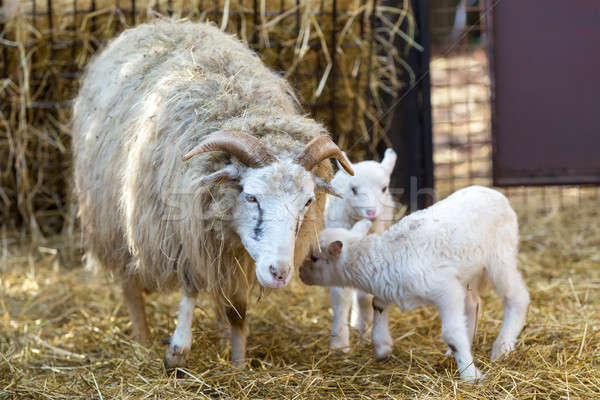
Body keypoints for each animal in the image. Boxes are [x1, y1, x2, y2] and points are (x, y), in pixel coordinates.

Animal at [71, 19, 354, 368]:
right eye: (251, 197)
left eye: (308, 201)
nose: (278, 273)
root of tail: (159, 23)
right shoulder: (184, 235)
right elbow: (190, 288)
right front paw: (177, 349)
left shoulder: (234, 256)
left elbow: (238, 312)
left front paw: (238, 360)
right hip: (113, 222)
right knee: (130, 284)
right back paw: (142, 338)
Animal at [300, 186, 528, 382]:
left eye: (314, 258)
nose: (300, 274)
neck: (384, 255)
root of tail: (495, 193)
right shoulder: (389, 285)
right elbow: (378, 304)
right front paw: (382, 347)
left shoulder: (446, 289)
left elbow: (451, 333)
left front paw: (470, 375)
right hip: (467, 271)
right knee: (473, 304)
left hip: (501, 255)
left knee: (516, 297)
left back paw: (502, 347)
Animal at [324, 148, 398, 352]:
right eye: (354, 189)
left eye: (384, 188)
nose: (371, 213)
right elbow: (341, 297)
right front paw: (339, 343)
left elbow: (365, 294)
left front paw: (364, 324)